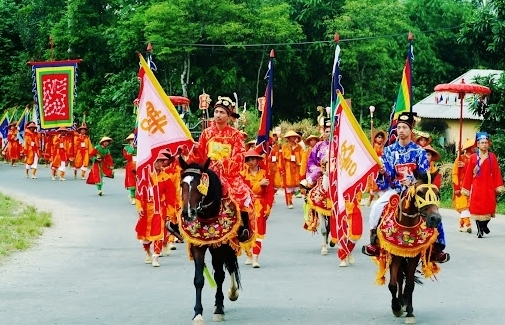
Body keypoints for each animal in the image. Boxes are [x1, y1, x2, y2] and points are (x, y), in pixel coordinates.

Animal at [177, 156, 240, 322]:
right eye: (182, 184)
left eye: (199, 185)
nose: (188, 213)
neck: (208, 217)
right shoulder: (198, 246)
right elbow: (198, 279)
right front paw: (198, 314)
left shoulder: (219, 245)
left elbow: (219, 276)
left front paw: (219, 309)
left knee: (229, 266)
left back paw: (231, 293)